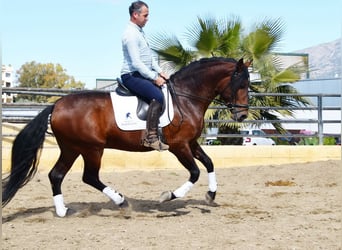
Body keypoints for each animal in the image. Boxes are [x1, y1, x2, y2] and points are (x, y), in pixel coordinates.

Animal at [1, 56, 250, 217]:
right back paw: (121, 201)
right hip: (92, 149)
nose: (243, 114)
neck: (186, 98)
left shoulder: (191, 142)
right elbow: (195, 172)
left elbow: (209, 163)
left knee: (56, 175)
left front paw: (211, 195)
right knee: (89, 177)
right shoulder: (179, 146)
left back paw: (63, 211)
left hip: (72, 148)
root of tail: (56, 105)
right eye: (241, 84)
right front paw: (168, 196)